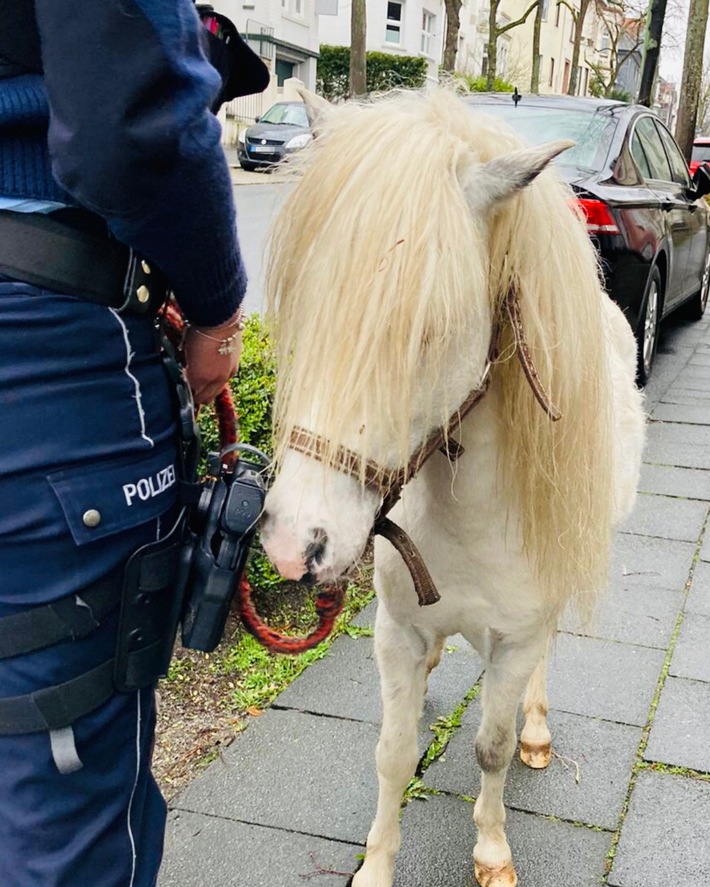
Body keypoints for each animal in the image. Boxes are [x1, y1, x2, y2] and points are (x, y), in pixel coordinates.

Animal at [260, 92, 644, 887]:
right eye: (304, 307)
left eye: (428, 330)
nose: (292, 544)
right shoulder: (398, 633)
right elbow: (393, 752)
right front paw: (376, 866)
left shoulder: (517, 637)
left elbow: (489, 749)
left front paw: (492, 852)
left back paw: (536, 728)